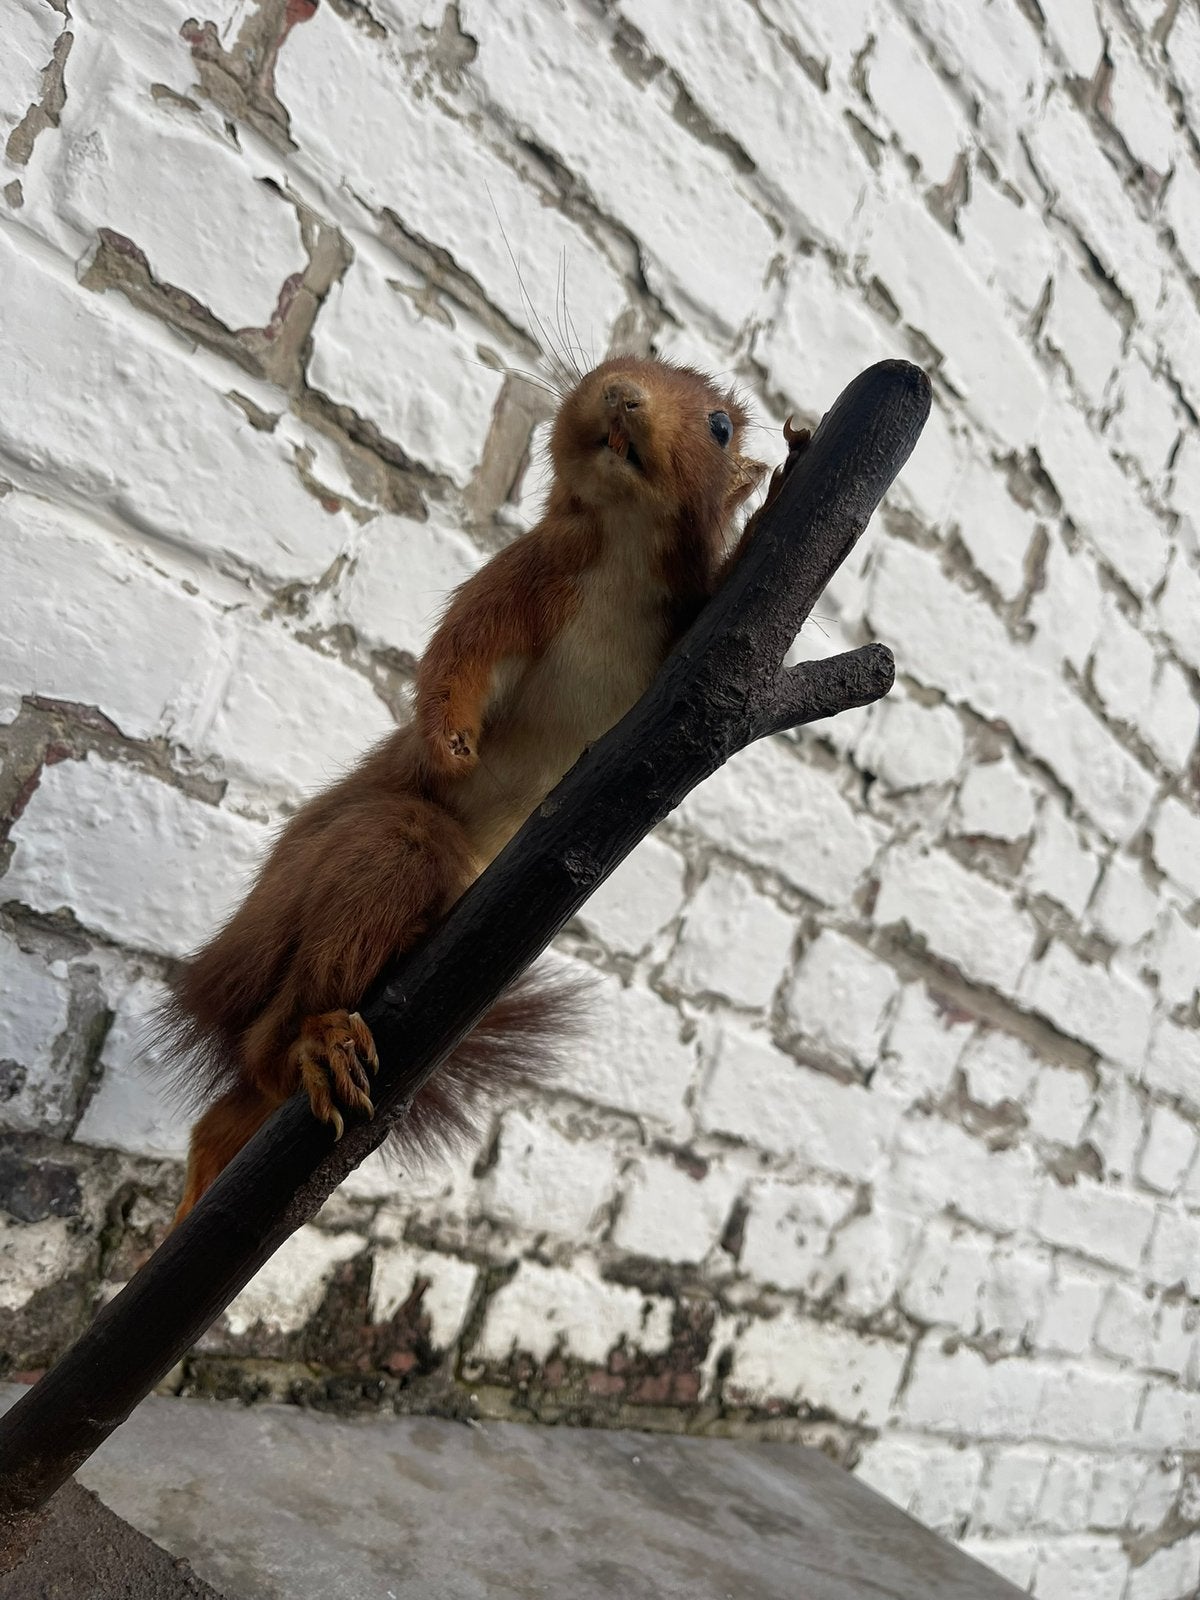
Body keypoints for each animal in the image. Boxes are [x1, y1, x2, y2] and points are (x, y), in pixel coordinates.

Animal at [160, 356, 802, 1223]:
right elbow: (459, 655)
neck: (622, 546)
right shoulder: (528, 577)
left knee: (233, 1109)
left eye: (722, 426)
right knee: (271, 1038)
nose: (621, 396)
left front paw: (777, 495)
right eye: (619, 358)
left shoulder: (687, 624)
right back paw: (315, 1042)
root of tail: (222, 969)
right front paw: (449, 742)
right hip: (366, 858)